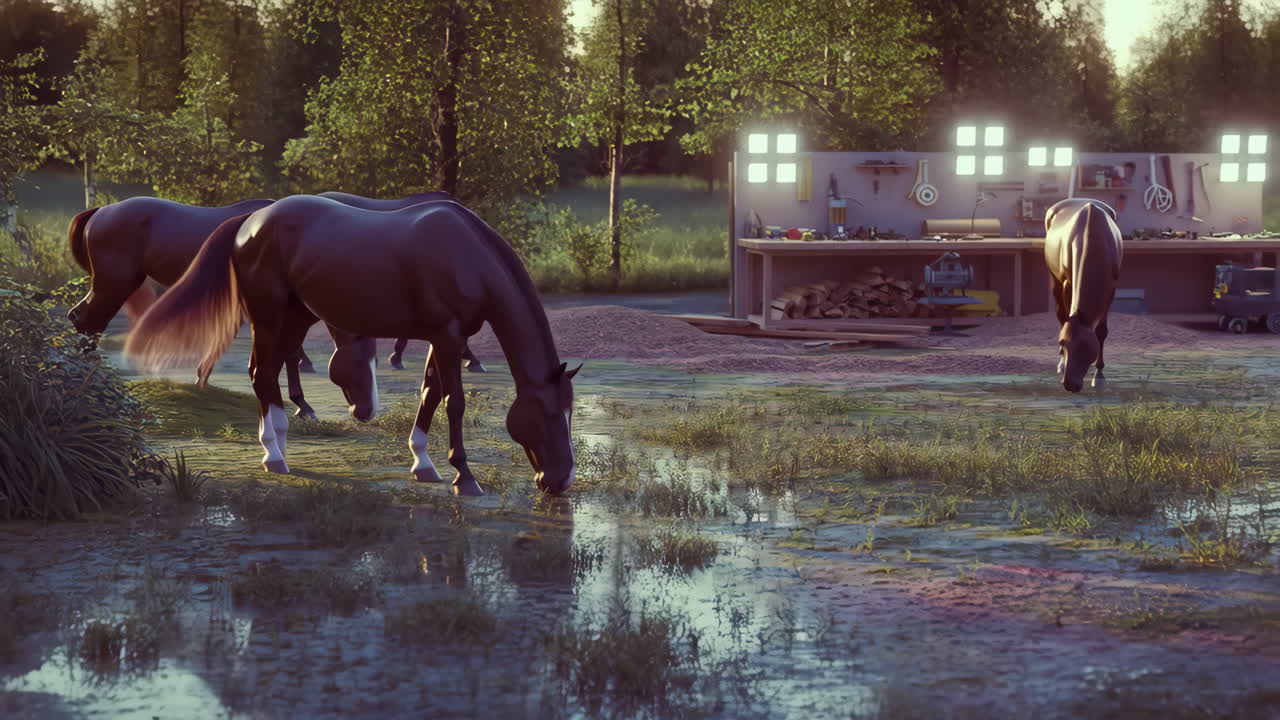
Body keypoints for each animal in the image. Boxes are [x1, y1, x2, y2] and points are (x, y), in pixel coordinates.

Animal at [124, 195, 580, 497]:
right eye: (549, 414)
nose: (560, 481)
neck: (466, 255)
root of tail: (249, 222)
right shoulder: (448, 336)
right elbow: (455, 402)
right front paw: (464, 477)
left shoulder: (446, 337)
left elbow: (430, 393)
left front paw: (423, 464)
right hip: (268, 315)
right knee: (261, 372)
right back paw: (273, 456)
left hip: (296, 315)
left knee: (269, 372)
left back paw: (281, 445)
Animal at [1043, 198, 1124, 392]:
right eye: (1062, 343)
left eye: (1085, 347)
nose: (1069, 384)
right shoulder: (1067, 283)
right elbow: (1064, 318)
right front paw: (1063, 361)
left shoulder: (1111, 288)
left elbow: (1101, 332)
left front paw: (1099, 374)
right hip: (1055, 280)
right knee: (1060, 313)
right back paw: (1060, 364)